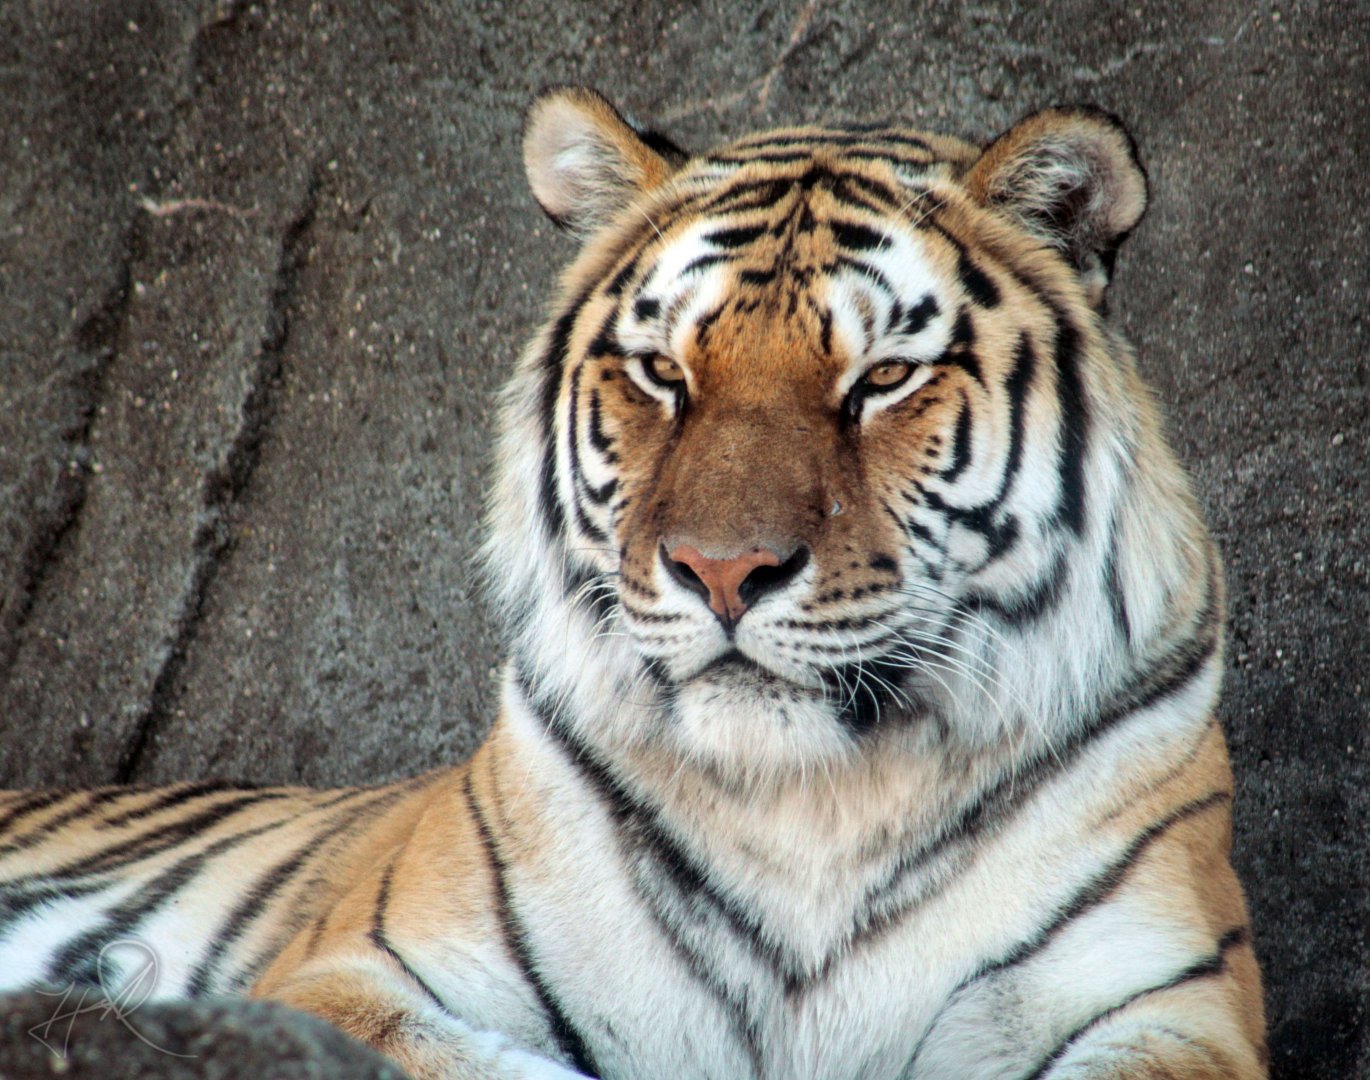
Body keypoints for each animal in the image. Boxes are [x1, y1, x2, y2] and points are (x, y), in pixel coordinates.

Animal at [0, 86, 1266, 1079]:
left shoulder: (1166, 1009)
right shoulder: (353, 975)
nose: (723, 571)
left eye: (881, 379)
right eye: (662, 373)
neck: (811, 805)